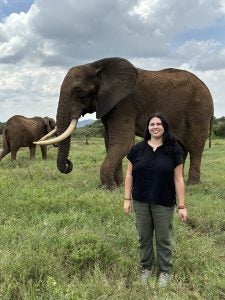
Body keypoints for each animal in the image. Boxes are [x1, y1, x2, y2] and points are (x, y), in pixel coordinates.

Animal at [34, 57, 213, 189]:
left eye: (80, 92)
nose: (68, 164)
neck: (96, 66)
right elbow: (110, 142)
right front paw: (118, 185)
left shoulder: (124, 104)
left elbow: (123, 143)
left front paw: (109, 187)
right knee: (180, 148)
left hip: (199, 111)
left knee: (195, 147)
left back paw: (192, 185)